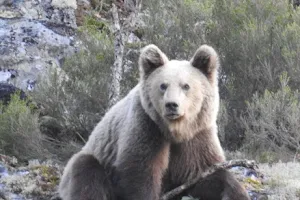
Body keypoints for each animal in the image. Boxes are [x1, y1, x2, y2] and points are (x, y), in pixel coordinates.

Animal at [57, 44, 250, 200]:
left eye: (186, 86)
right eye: (163, 85)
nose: (172, 105)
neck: (176, 130)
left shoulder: (197, 135)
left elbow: (205, 173)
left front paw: (235, 192)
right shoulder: (147, 126)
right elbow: (140, 172)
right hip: (89, 163)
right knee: (86, 169)